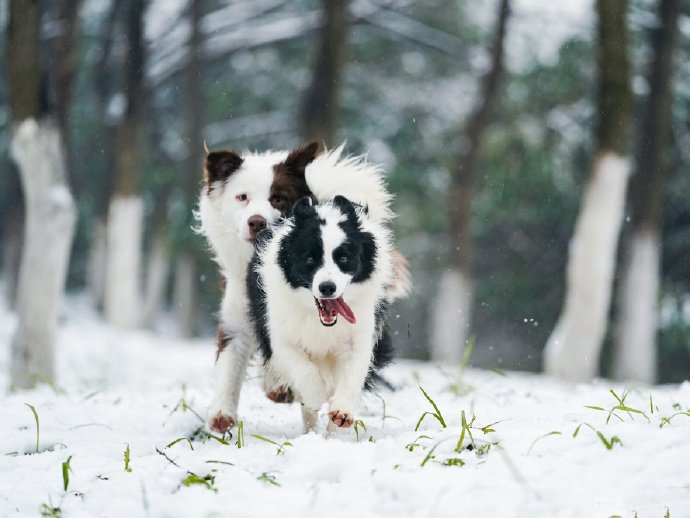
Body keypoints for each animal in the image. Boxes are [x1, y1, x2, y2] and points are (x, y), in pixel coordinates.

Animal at [247, 197, 390, 432]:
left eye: (344, 258)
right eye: (309, 259)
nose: (327, 287)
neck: (319, 319)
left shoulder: (359, 333)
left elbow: (353, 371)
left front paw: (341, 411)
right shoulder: (279, 335)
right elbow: (303, 370)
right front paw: (314, 397)